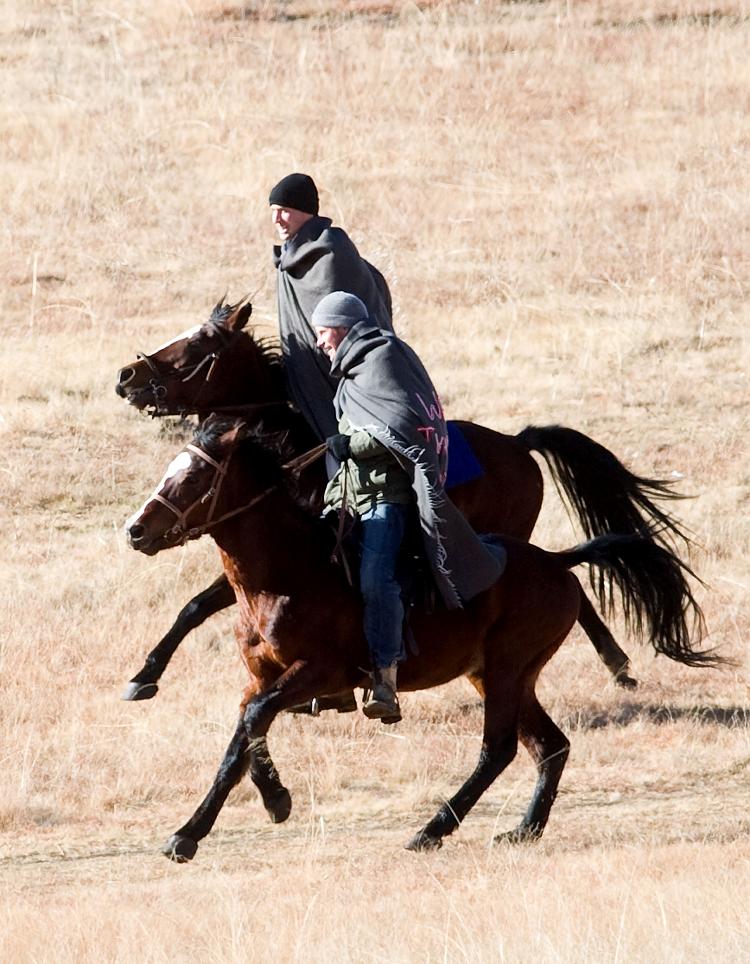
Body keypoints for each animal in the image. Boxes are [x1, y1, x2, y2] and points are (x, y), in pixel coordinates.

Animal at [116, 298, 692, 696]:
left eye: (197, 347)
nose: (127, 376)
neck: (292, 451)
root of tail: (519, 443)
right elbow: (193, 608)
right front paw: (144, 675)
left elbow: (197, 604)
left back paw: (617, 663)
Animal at [126, 418, 712, 864]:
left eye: (195, 476)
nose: (135, 530)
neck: (286, 574)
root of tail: (556, 561)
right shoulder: (264, 676)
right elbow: (245, 733)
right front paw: (263, 804)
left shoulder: (318, 673)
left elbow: (251, 724)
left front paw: (202, 828)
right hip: (500, 675)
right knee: (551, 745)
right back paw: (523, 829)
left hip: (505, 671)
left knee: (498, 749)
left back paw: (433, 830)